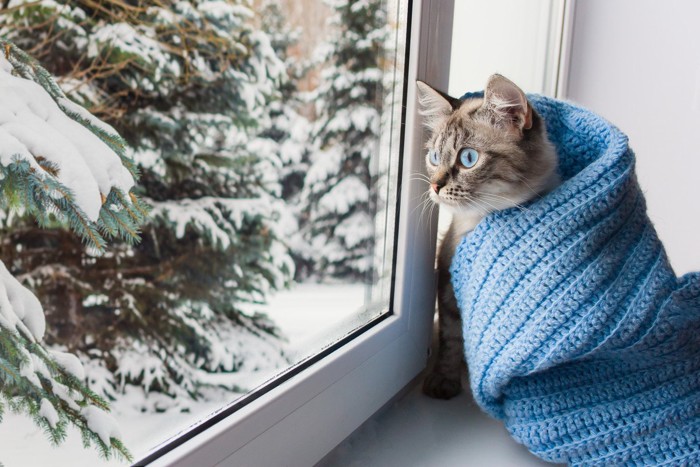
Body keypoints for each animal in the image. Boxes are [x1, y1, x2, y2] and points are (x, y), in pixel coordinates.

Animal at [416, 75, 556, 400]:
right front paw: (444, 382)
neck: (475, 222)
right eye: (434, 157)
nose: (434, 186)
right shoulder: (448, 281)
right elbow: (452, 339)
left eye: (468, 158)